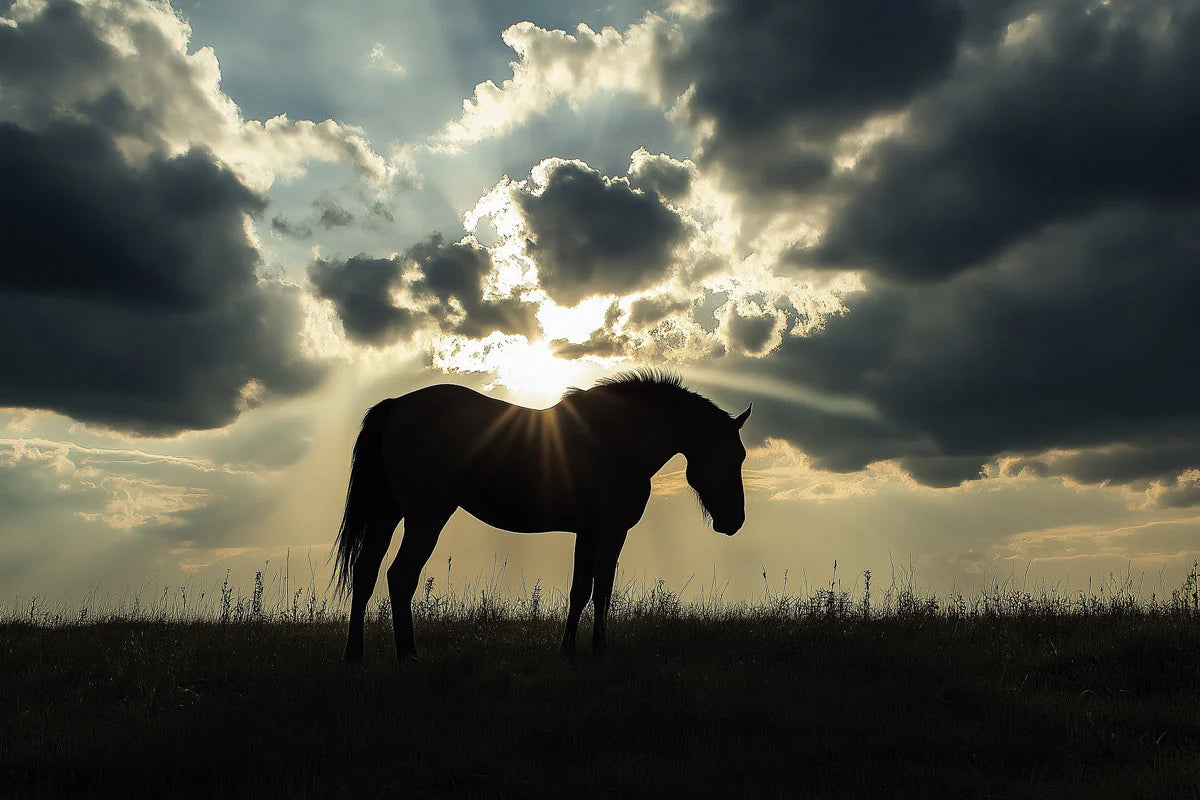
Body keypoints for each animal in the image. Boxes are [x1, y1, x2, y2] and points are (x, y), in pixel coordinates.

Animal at [332, 369, 751, 663]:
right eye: (734, 455)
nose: (735, 522)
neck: (619, 439)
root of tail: (397, 405)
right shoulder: (611, 530)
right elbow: (602, 590)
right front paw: (599, 651)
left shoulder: (587, 532)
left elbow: (580, 590)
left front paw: (568, 651)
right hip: (426, 516)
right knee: (400, 576)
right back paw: (408, 655)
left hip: (388, 515)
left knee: (366, 573)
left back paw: (354, 654)